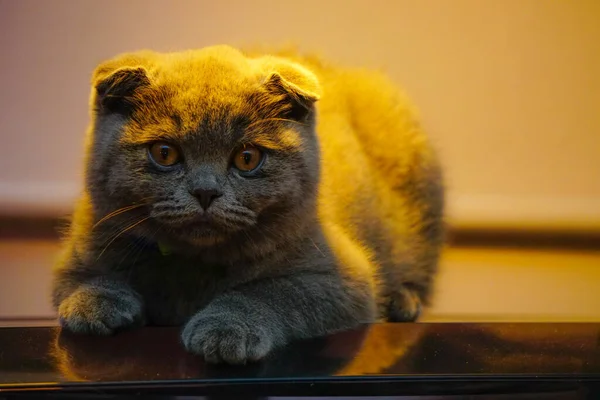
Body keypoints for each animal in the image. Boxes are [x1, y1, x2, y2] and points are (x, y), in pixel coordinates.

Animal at [52, 45, 446, 364]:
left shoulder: (346, 280)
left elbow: (274, 290)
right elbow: (81, 278)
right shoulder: (81, 245)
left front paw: (226, 329)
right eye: (164, 153)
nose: (205, 191)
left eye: (246, 158)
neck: (195, 268)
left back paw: (403, 301)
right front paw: (95, 304)